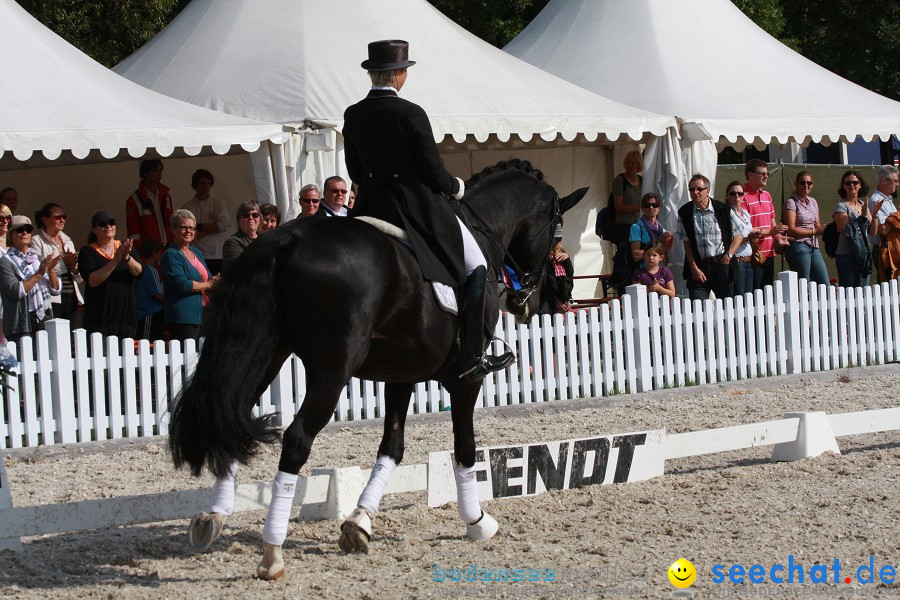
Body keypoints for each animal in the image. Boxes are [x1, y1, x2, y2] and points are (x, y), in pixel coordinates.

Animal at [168, 158, 588, 576]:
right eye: (555, 233)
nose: (525, 303)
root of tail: (285, 239)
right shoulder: (465, 379)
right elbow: (465, 448)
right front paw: (477, 521)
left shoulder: (402, 373)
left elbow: (392, 447)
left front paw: (360, 522)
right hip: (331, 371)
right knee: (296, 438)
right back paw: (272, 553)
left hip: (265, 352)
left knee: (228, 412)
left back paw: (213, 517)